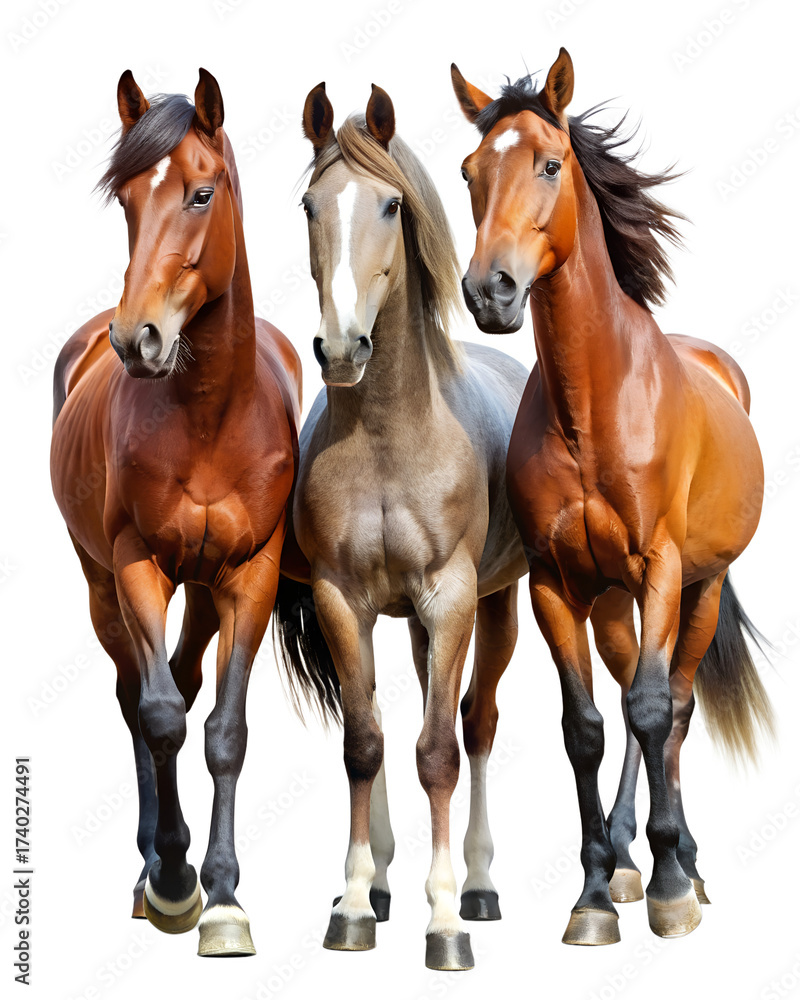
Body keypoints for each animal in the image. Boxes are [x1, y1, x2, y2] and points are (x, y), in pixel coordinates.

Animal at [50, 69, 301, 957]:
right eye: (126, 199)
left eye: (201, 191)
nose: (140, 340)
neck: (208, 416)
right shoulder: (135, 564)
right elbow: (158, 715)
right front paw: (172, 881)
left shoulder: (251, 574)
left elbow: (224, 729)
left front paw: (223, 896)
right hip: (101, 584)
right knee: (138, 695)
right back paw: (150, 866)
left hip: (201, 588)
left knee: (186, 684)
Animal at [270, 80, 535, 972]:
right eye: (310, 204)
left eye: (391, 203)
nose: (342, 347)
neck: (389, 436)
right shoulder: (340, 600)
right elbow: (366, 742)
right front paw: (356, 902)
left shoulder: (450, 599)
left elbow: (441, 751)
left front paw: (446, 919)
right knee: (394, 717)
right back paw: (384, 884)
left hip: (492, 608)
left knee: (473, 725)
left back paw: (481, 886)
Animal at [451, 48, 773, 946]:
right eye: (470, 172)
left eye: (550, 164)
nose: (490, 291)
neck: (593, 405)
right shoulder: (555, 585)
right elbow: (587, 728)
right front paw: (595, 890)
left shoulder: (660, 569)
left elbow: (655, 711)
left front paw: (669, 889)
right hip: (610, 603)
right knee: (633, 701)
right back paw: (633, 860)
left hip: (698, 588)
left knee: (674, 707)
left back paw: (682, 864)